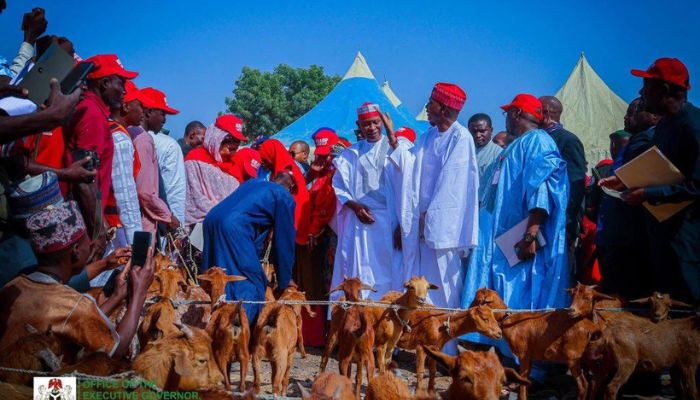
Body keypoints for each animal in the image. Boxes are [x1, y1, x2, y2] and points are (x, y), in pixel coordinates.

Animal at [470, 284, 612, 400]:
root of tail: (592, 327)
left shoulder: (524, 355)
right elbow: (525, 380)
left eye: (478, 301)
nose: (468, 310)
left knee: (584, 385)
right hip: (588, 356)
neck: (510, 321)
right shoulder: (529, 357)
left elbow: (523, 380)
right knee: (597, 378)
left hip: (573, 357)